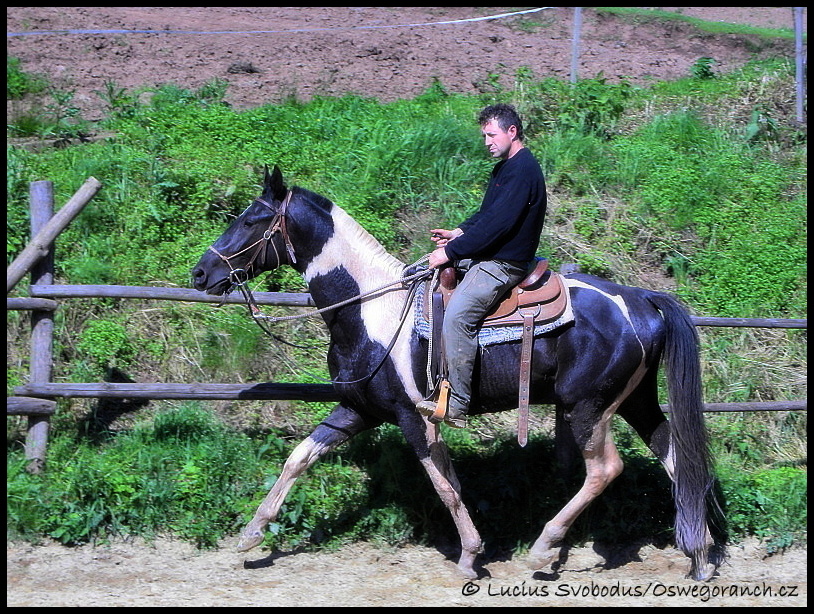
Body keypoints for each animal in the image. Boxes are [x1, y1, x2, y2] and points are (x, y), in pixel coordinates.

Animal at [190, 164, 720, 584]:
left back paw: (544, 549)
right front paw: (252, 534)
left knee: (606, 469)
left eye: (252, 219)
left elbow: (444, 485)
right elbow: (299, 457)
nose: (200, 274)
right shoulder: (358, 408)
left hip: (588, 407)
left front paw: (469, 555)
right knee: (678, 459)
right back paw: (700, 554)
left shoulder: (414, 416)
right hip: (635, 402)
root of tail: (641, 298)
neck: (371, 310)